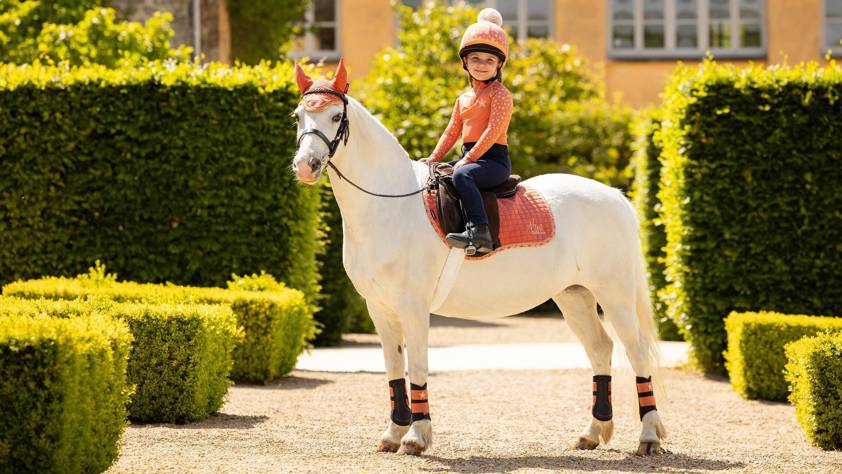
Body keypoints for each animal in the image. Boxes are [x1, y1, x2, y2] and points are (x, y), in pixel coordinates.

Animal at [292, 60, 668, 456]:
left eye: (336, 116)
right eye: (298, 116)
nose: (306, 166)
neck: (390, 203)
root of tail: (615, 196)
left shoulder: (413, 306)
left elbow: (418, 366)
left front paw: (415, 437)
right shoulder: (379, 307)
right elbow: (394, 368)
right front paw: (393, 434)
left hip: (615, 295)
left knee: (636, 352)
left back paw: (648, 436)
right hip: (574, 295)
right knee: (600, 348)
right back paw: (592, 433)